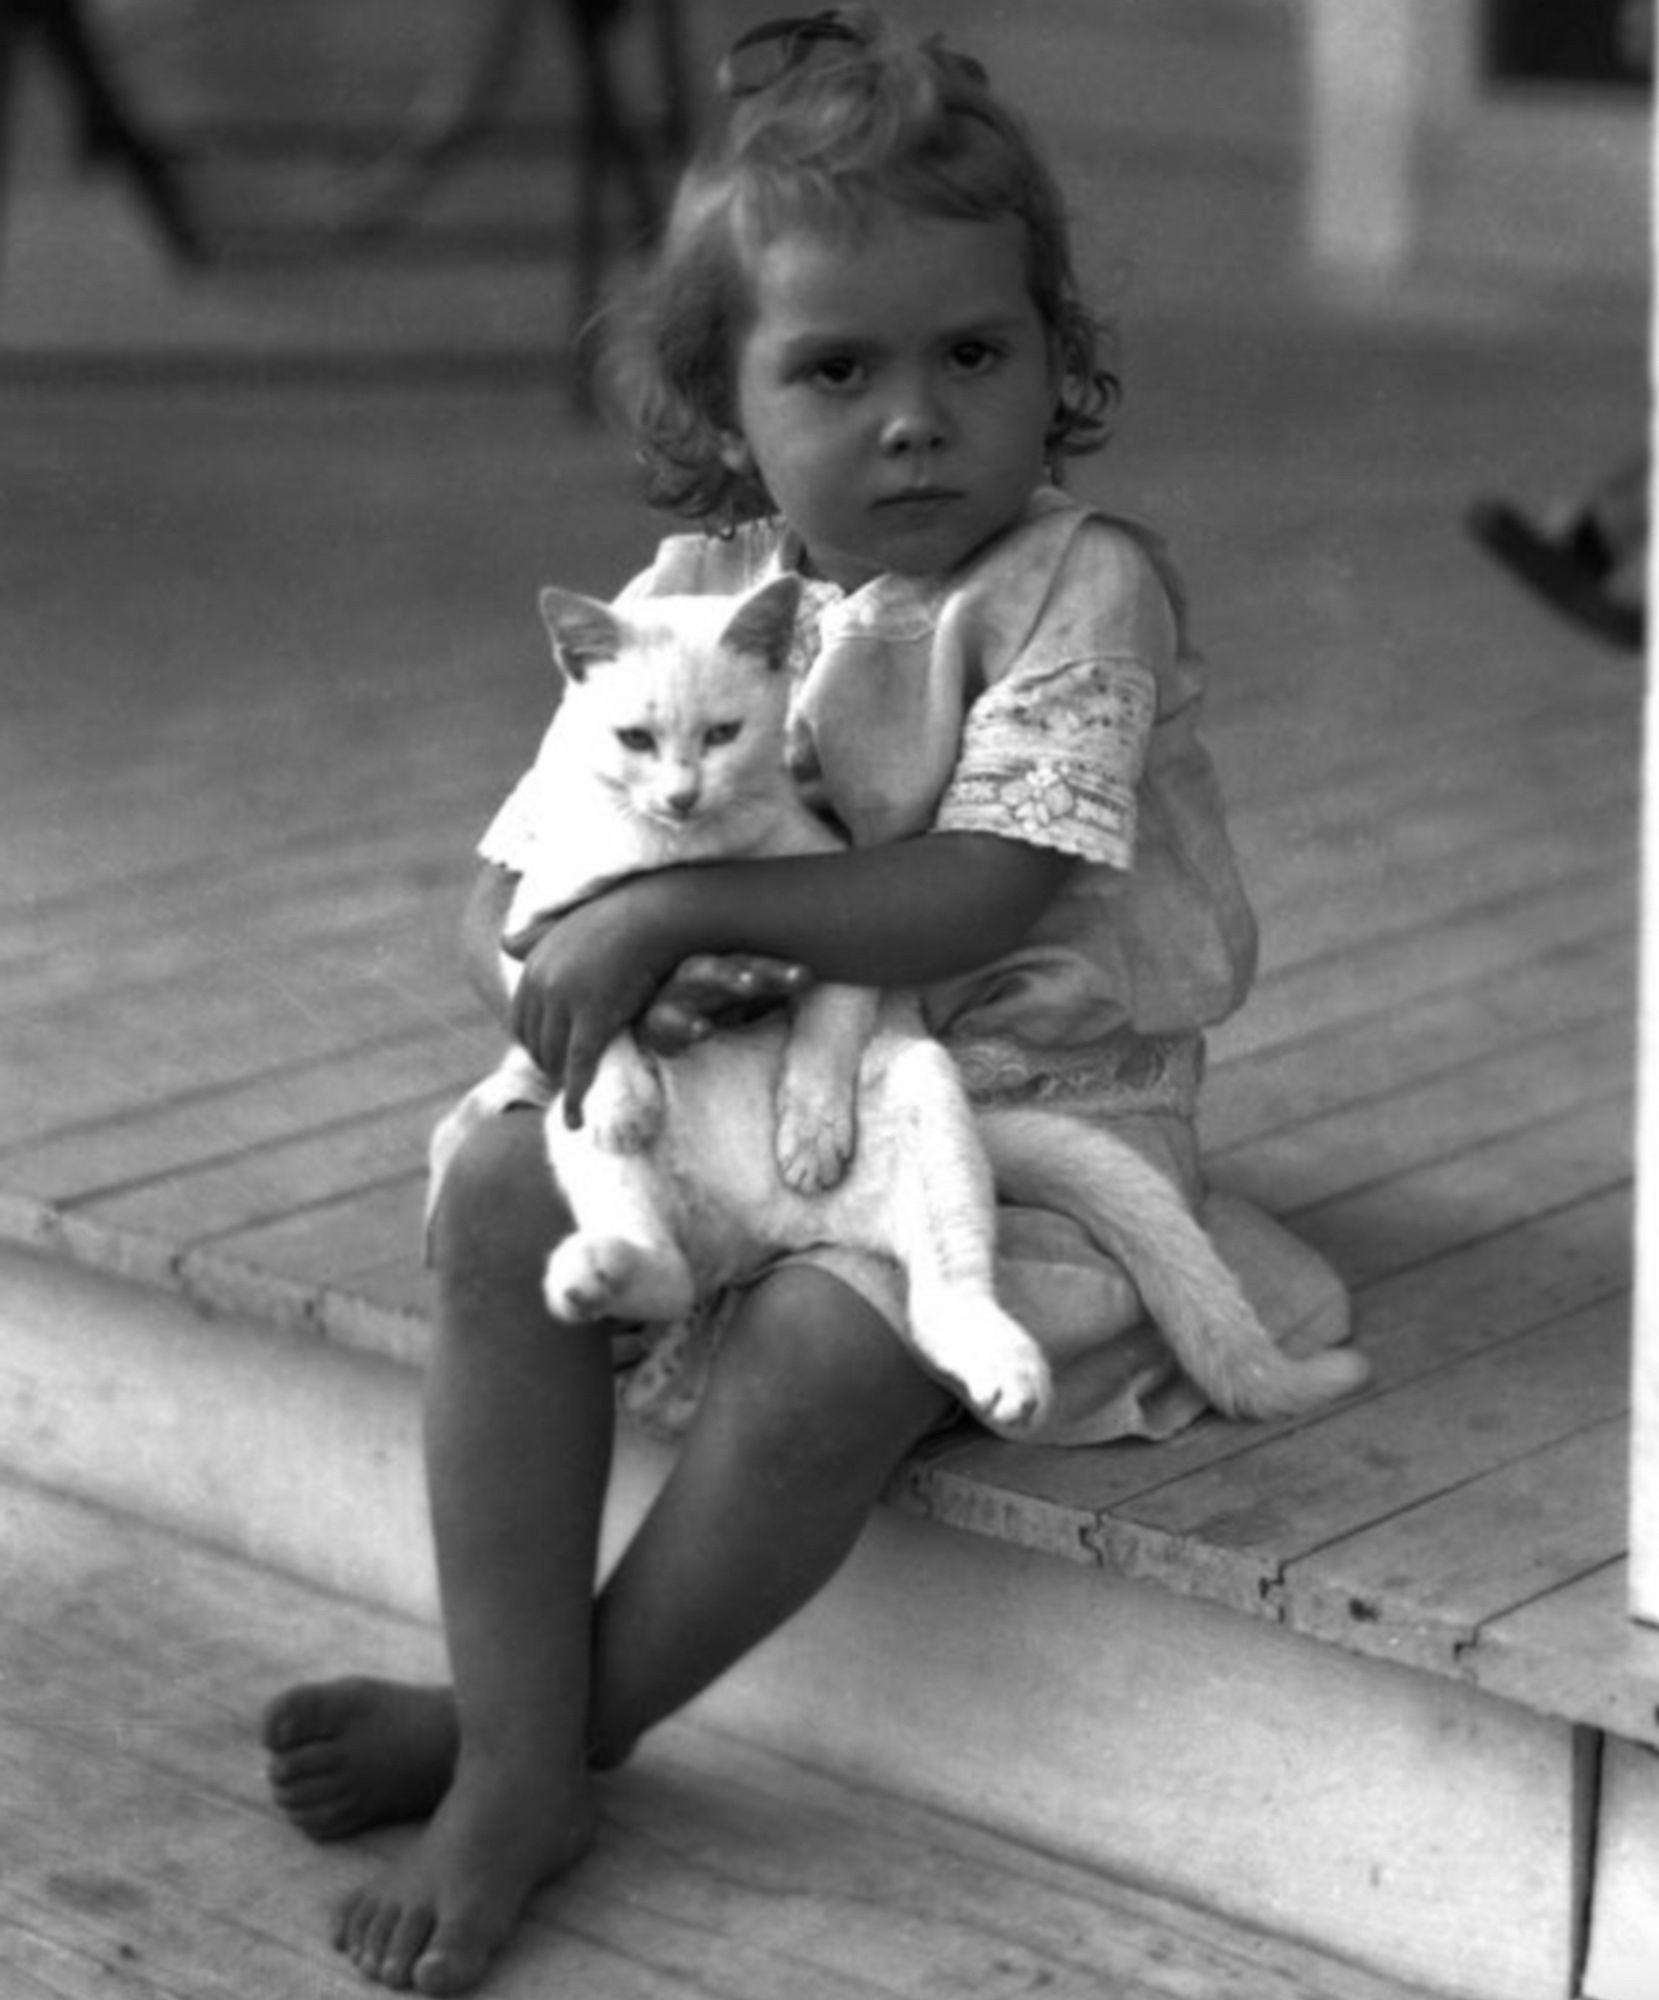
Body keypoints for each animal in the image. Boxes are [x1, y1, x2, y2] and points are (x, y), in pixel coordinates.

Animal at [431, 572, 1375, 1432]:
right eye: (634, 738)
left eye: (722, 734)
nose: (680, 797)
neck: (684, 864)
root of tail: (759, 1233)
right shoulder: (535, 941)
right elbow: (596, 1012)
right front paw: (625, 1097)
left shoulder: (834, 920)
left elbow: (821, 1031)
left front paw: (809, 1132)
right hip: (574, 1142)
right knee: (658, 1264)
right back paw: (595, 1268)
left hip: (925, 1105)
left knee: (945, 1296)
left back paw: (1005, 1373)